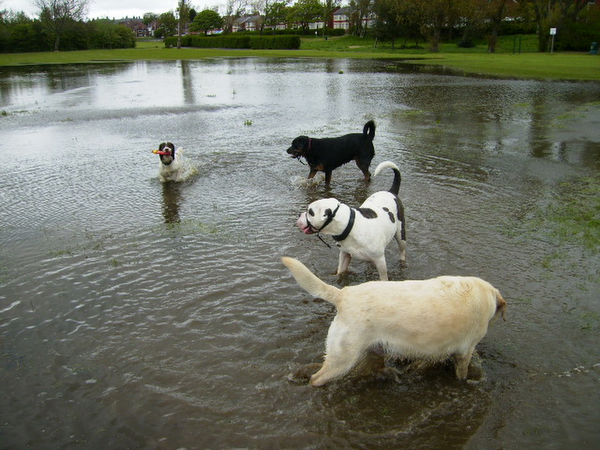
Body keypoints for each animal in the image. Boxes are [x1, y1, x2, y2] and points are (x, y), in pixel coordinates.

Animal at [282, 256, 506, 386]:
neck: (484, 294)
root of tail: (343, 294)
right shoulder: (465, 352)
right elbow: (462, 373)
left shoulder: (434, 350)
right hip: (343, 358)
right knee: (316, 379)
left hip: (371, 352)